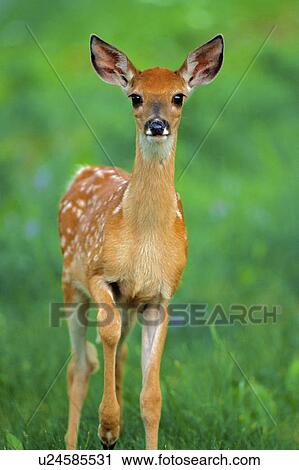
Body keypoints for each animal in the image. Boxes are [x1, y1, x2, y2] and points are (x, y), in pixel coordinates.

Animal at [58, 31, 224, 450]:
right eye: (135, 96)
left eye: (178, 96)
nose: (156, 124)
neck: (143, 239)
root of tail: (82, 171)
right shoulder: (100, 274)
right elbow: (106, 336)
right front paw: (107, 425)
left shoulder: (159, 295)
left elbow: (152, 397)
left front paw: (123, 434)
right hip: (70, 281)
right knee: (80, 364)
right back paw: (76, 442)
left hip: (127, 302)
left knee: (118, 354)